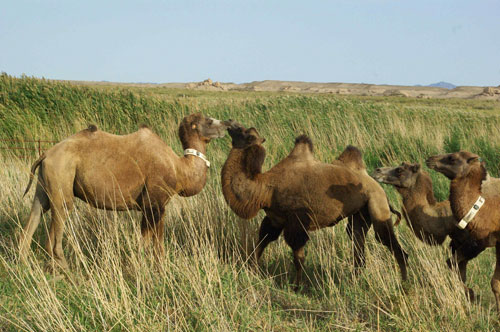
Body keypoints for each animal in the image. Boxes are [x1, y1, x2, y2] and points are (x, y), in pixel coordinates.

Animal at [20, 114, 229, 270]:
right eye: (209, 121)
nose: (227, 124)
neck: (179, 169)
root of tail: (46, 154)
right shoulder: (154, 203)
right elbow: (152, 242)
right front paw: (153, 268)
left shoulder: (153, 206)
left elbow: (152, 241)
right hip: (62, 178)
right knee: (58, 222)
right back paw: (64, 269)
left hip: (44, 185)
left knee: (35, 215)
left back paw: (25, 262)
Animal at [221, 122, 408, 290]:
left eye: (246, 133)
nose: (229, 125)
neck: (265, 188)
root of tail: (377, 186)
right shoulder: (275, 219)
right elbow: (261, 243)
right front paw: (251, 271)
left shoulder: (297, 221)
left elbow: (298, 258)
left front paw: (297, 287)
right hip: (360, 213)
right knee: (358, 243)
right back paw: (356, 281)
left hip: (377, 204)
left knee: (389, 243)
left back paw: (403, 283)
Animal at [372, 163, 484, 298]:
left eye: (399, 170)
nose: (377, 171)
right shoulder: (457, 242)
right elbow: (460, 271)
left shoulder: (475, 243)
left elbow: (451, 264)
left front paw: (469, 293)